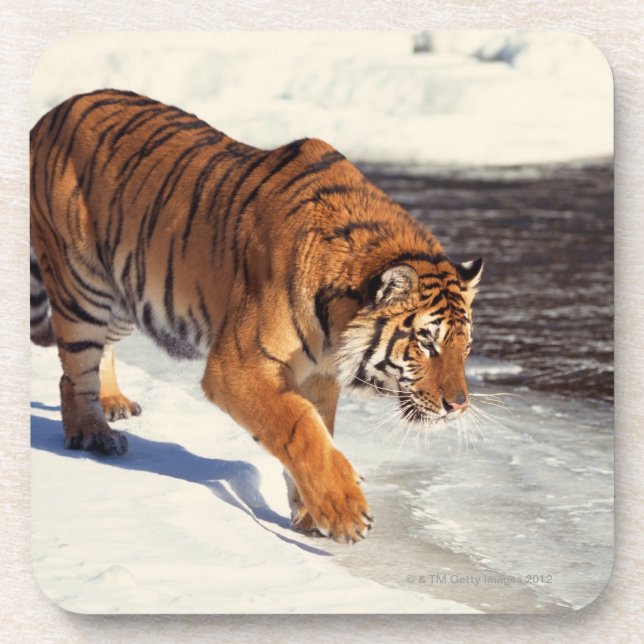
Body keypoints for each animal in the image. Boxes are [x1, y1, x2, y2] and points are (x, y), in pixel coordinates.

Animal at [30, 89, 483, 544]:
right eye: (426, 342)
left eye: (465, 346)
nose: (459, 405)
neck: (335, 326)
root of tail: (54, 112)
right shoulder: (239, 365)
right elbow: (300, 428)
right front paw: (344, 511)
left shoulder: (317, 376)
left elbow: (320, 429)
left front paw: (310, 515)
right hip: (82, 285)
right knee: (73, 372)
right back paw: (93, 434)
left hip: (128, 291)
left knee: (99, 352)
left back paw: (113, 402)